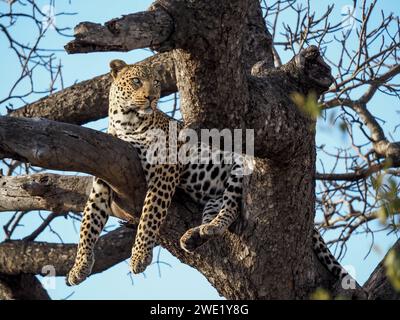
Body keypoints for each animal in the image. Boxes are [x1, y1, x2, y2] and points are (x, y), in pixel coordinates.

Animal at [65, 60, 350, 284]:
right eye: (136, 81)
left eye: (156, 83)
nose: (151, 97)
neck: (124, 121)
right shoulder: (103, 174)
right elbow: (89, 222)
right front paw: (79, 267)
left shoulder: (166, 168)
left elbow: (149, 214)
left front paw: (140, 257)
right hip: (213, 195)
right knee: (217, 209)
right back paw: (195, 235)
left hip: (239, 167)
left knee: (231, 208)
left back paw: (211, 227)